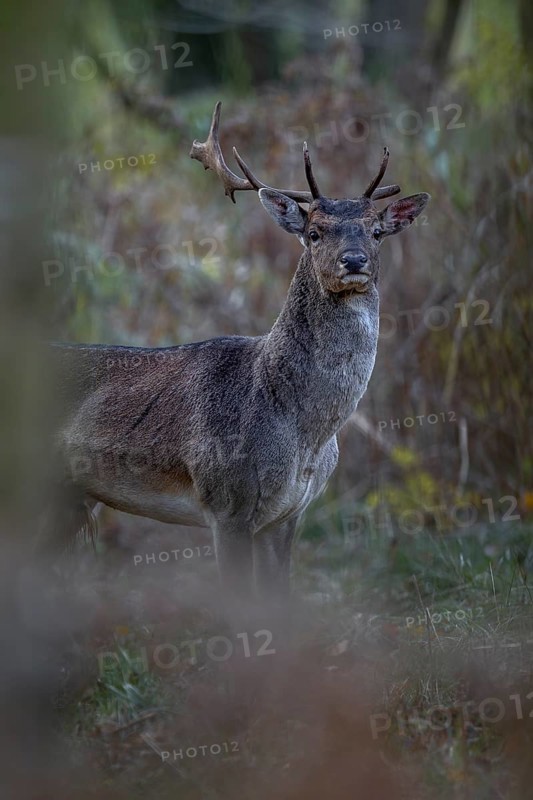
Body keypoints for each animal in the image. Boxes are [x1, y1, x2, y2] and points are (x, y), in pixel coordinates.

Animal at [47, 101, 429, 601]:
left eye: (377, 231)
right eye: (314, 231)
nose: (353, 260)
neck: (304, 434)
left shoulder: (289, 515)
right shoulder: (225, 500)